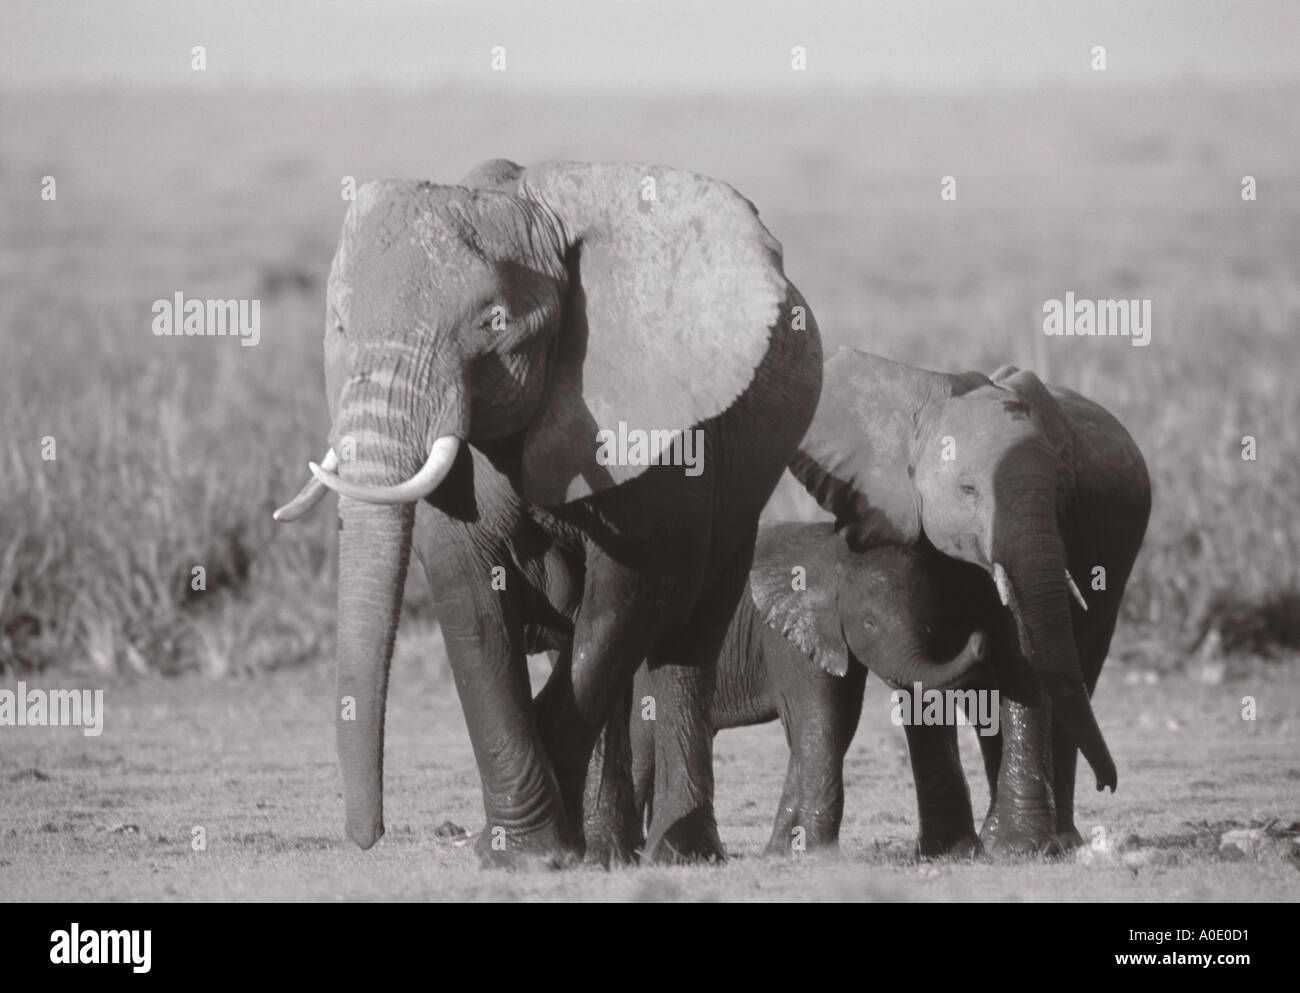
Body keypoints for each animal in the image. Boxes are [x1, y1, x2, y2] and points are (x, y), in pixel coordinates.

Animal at [274, 159, 821, 863]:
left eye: (495, 322)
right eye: (340, 325)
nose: (368, 838)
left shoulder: (656, 431)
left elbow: (633, 594)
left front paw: (519, 850)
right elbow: (469, 598)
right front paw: (523, 849)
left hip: (744, 493)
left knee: (687, 640)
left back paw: (674, 852)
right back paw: (608, 849)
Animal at [629, 522, 993, 857]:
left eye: (933, 624)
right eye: (870, 624)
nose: (979, 639)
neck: (839, 557)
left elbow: (830, 727)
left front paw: (780, 853)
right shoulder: (791, 635)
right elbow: (822, 722)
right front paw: (819, 854)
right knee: (642, 742)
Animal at [785, 348, 1154, 852]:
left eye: (1060, 490)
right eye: (968, 490)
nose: (1109, 784)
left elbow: (1023, 656)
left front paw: (1014, 847)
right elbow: (917, 662)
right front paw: (949, 850)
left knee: (1079, 670)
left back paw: (1058, 840)